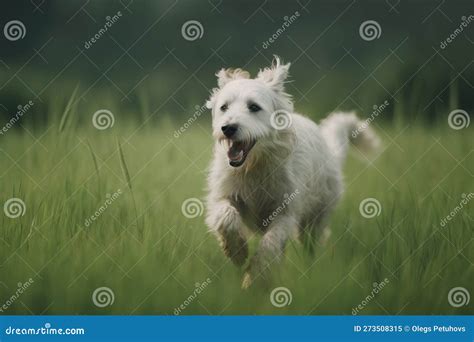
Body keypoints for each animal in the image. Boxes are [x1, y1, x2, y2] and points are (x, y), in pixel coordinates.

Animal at [204, 56, 378, 288]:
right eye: (224, 107)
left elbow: (270, 243)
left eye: (254, 107)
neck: (255, 167)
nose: (228, 128)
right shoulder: (222, 196)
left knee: (309, 245)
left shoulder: (286, 213)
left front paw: (253, 276)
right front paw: (237, 251)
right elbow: (226, 217)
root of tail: (330, 151)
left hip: (315, 218)